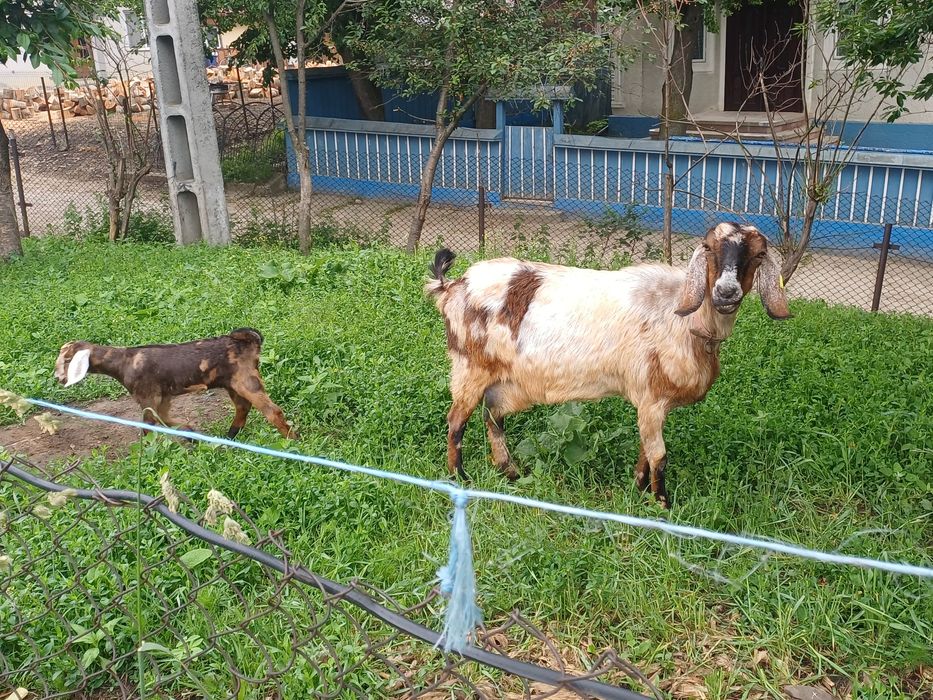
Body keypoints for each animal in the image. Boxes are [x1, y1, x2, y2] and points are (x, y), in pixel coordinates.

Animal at [54, 328, 299, 440]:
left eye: (67, 359)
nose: (58, 378)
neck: (124, 361)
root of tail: (248, 340)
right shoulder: (164, 397)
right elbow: (165, 419)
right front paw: (189, 431)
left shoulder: (147, 396)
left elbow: (149, 425)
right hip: (232, 383)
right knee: (243, 407)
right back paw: (229, 436)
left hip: (246, 380)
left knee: (272, 411)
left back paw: (291, 440)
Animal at [426, 222, 790, 508]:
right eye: (711, 249)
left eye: (758, 255)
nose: (726, 292)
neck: (682, 316)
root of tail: (451, 287)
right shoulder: (652, 396)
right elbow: (659, 455)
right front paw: (663, 506)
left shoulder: (649, 403)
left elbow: (645, 449)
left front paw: (639, 490)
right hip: (470, 367)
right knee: (457, 421)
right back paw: (460, 477)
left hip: (506, 382)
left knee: (492, 416)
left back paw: (510, 472)